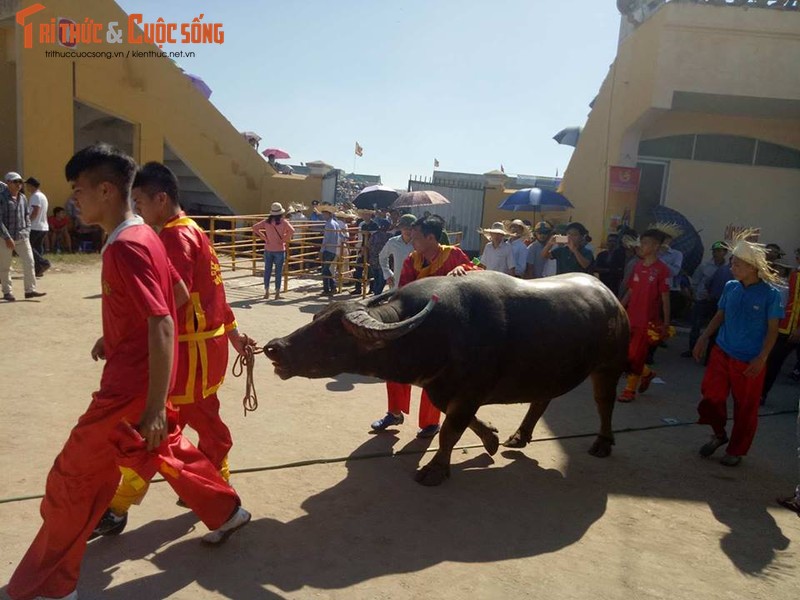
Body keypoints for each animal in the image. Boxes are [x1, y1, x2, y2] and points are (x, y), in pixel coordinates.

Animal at [266, 272, 628, 488]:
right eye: (316, 317)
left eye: (330, 330)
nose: (274, 347)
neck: (434, 335)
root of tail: (610, 296)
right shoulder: (442, 389)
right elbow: (459, 422)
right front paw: (492, 438)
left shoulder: (469, 393)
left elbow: (450, 432)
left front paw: (435, 470)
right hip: (549, 370)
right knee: (541, 399)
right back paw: (518, 437)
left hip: (609, 365)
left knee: (604, 402)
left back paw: (602, 443)